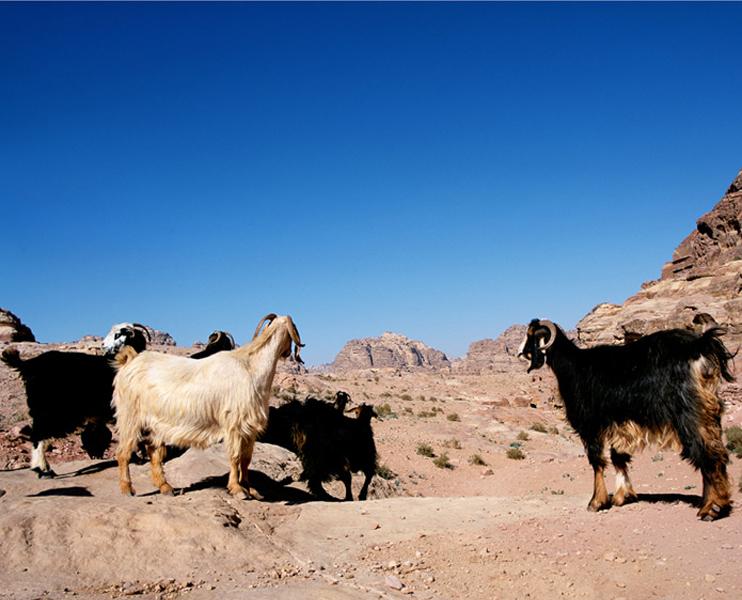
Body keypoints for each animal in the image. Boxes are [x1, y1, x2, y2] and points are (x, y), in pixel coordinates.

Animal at [1, 323, 150, 478]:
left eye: (118, 334)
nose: (102, 345)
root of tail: (29, 364)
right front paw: (137, 458)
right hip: (46, 410)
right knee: (38, 435)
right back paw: (43, 469)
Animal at [112, 314, 303, 499]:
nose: (287, 353)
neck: (251, 366)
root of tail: (129, 360)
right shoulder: (234, 424)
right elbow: (235, 457)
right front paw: (237, 489)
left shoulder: (249, 428)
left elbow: (246, 459)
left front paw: (251, 489)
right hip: (130, 416)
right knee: (123, 452)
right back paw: (127, 489)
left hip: (154, 424)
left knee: (154, 452)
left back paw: (165, 487)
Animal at [518, 319, 735, 521]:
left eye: (531, 335)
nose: (520, 353)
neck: (573, 365)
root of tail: (700, 345)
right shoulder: (619, 424)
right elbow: (618, 457)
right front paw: (623, 496)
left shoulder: (590, 424)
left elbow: (597, 461)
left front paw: (596, 502)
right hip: (709, 412)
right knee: (715, 450)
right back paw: (712, 503)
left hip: (689, 412)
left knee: (706, 453)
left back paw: (712, 508)